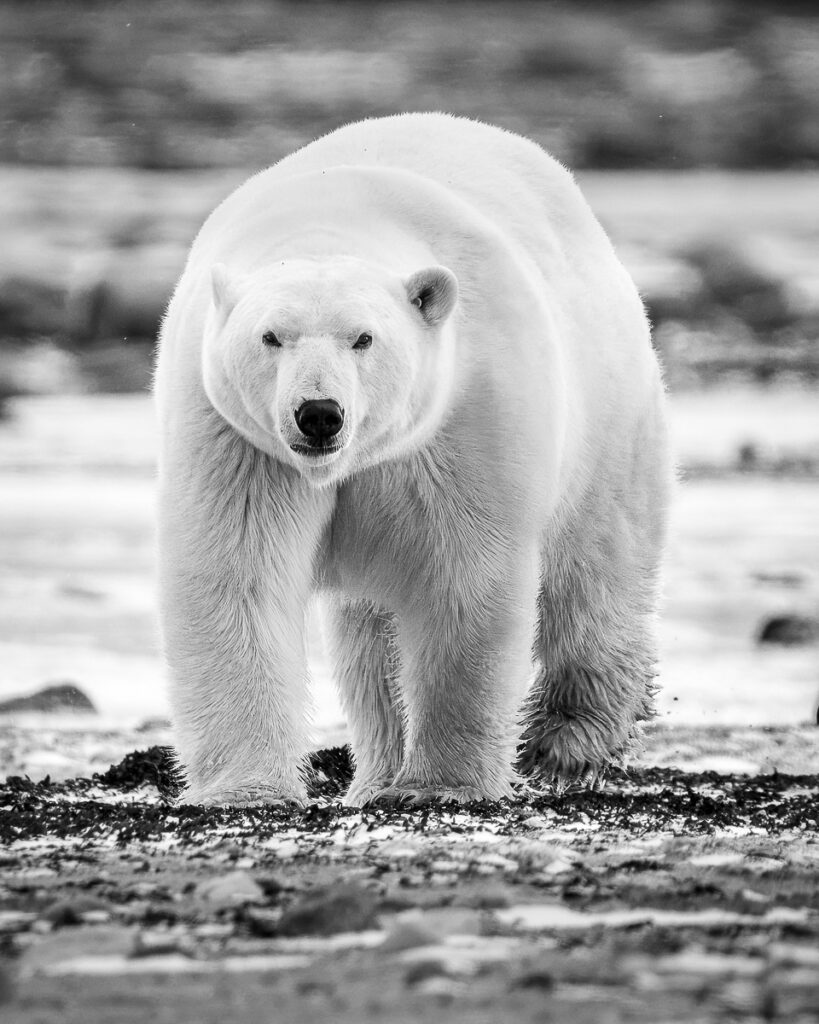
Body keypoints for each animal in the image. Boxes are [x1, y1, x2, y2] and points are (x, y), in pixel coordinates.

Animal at [154, 113, 671, 807]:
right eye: (271, 336)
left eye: (363, 338)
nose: (319, 413)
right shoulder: (237, 440)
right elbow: (237, 573)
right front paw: (247, 790)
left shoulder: (461, 415)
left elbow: (461, 578)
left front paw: (440, 784)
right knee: (368, 640)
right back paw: (376, 773)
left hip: (607, 422)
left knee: (593, 574)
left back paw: (570, 741)